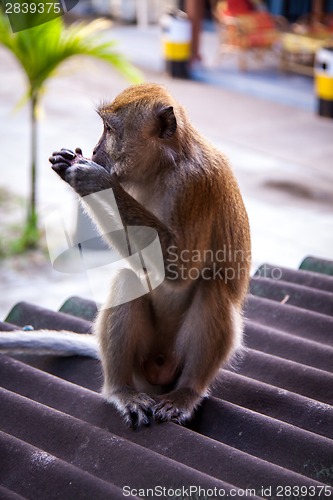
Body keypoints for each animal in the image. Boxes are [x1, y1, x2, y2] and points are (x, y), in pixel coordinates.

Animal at [0, 84, 250, 428]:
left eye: (109, 129)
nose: (93, 150)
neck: (166, 166)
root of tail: (157, 374)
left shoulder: (194, 186)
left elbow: (182, 271)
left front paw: (94, 179)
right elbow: (138, 262)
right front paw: (71, 168)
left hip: (175, 363)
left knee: (212, 289)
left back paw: (186, 393)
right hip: (142, 364)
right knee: (127, 280)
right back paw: (121, 391)